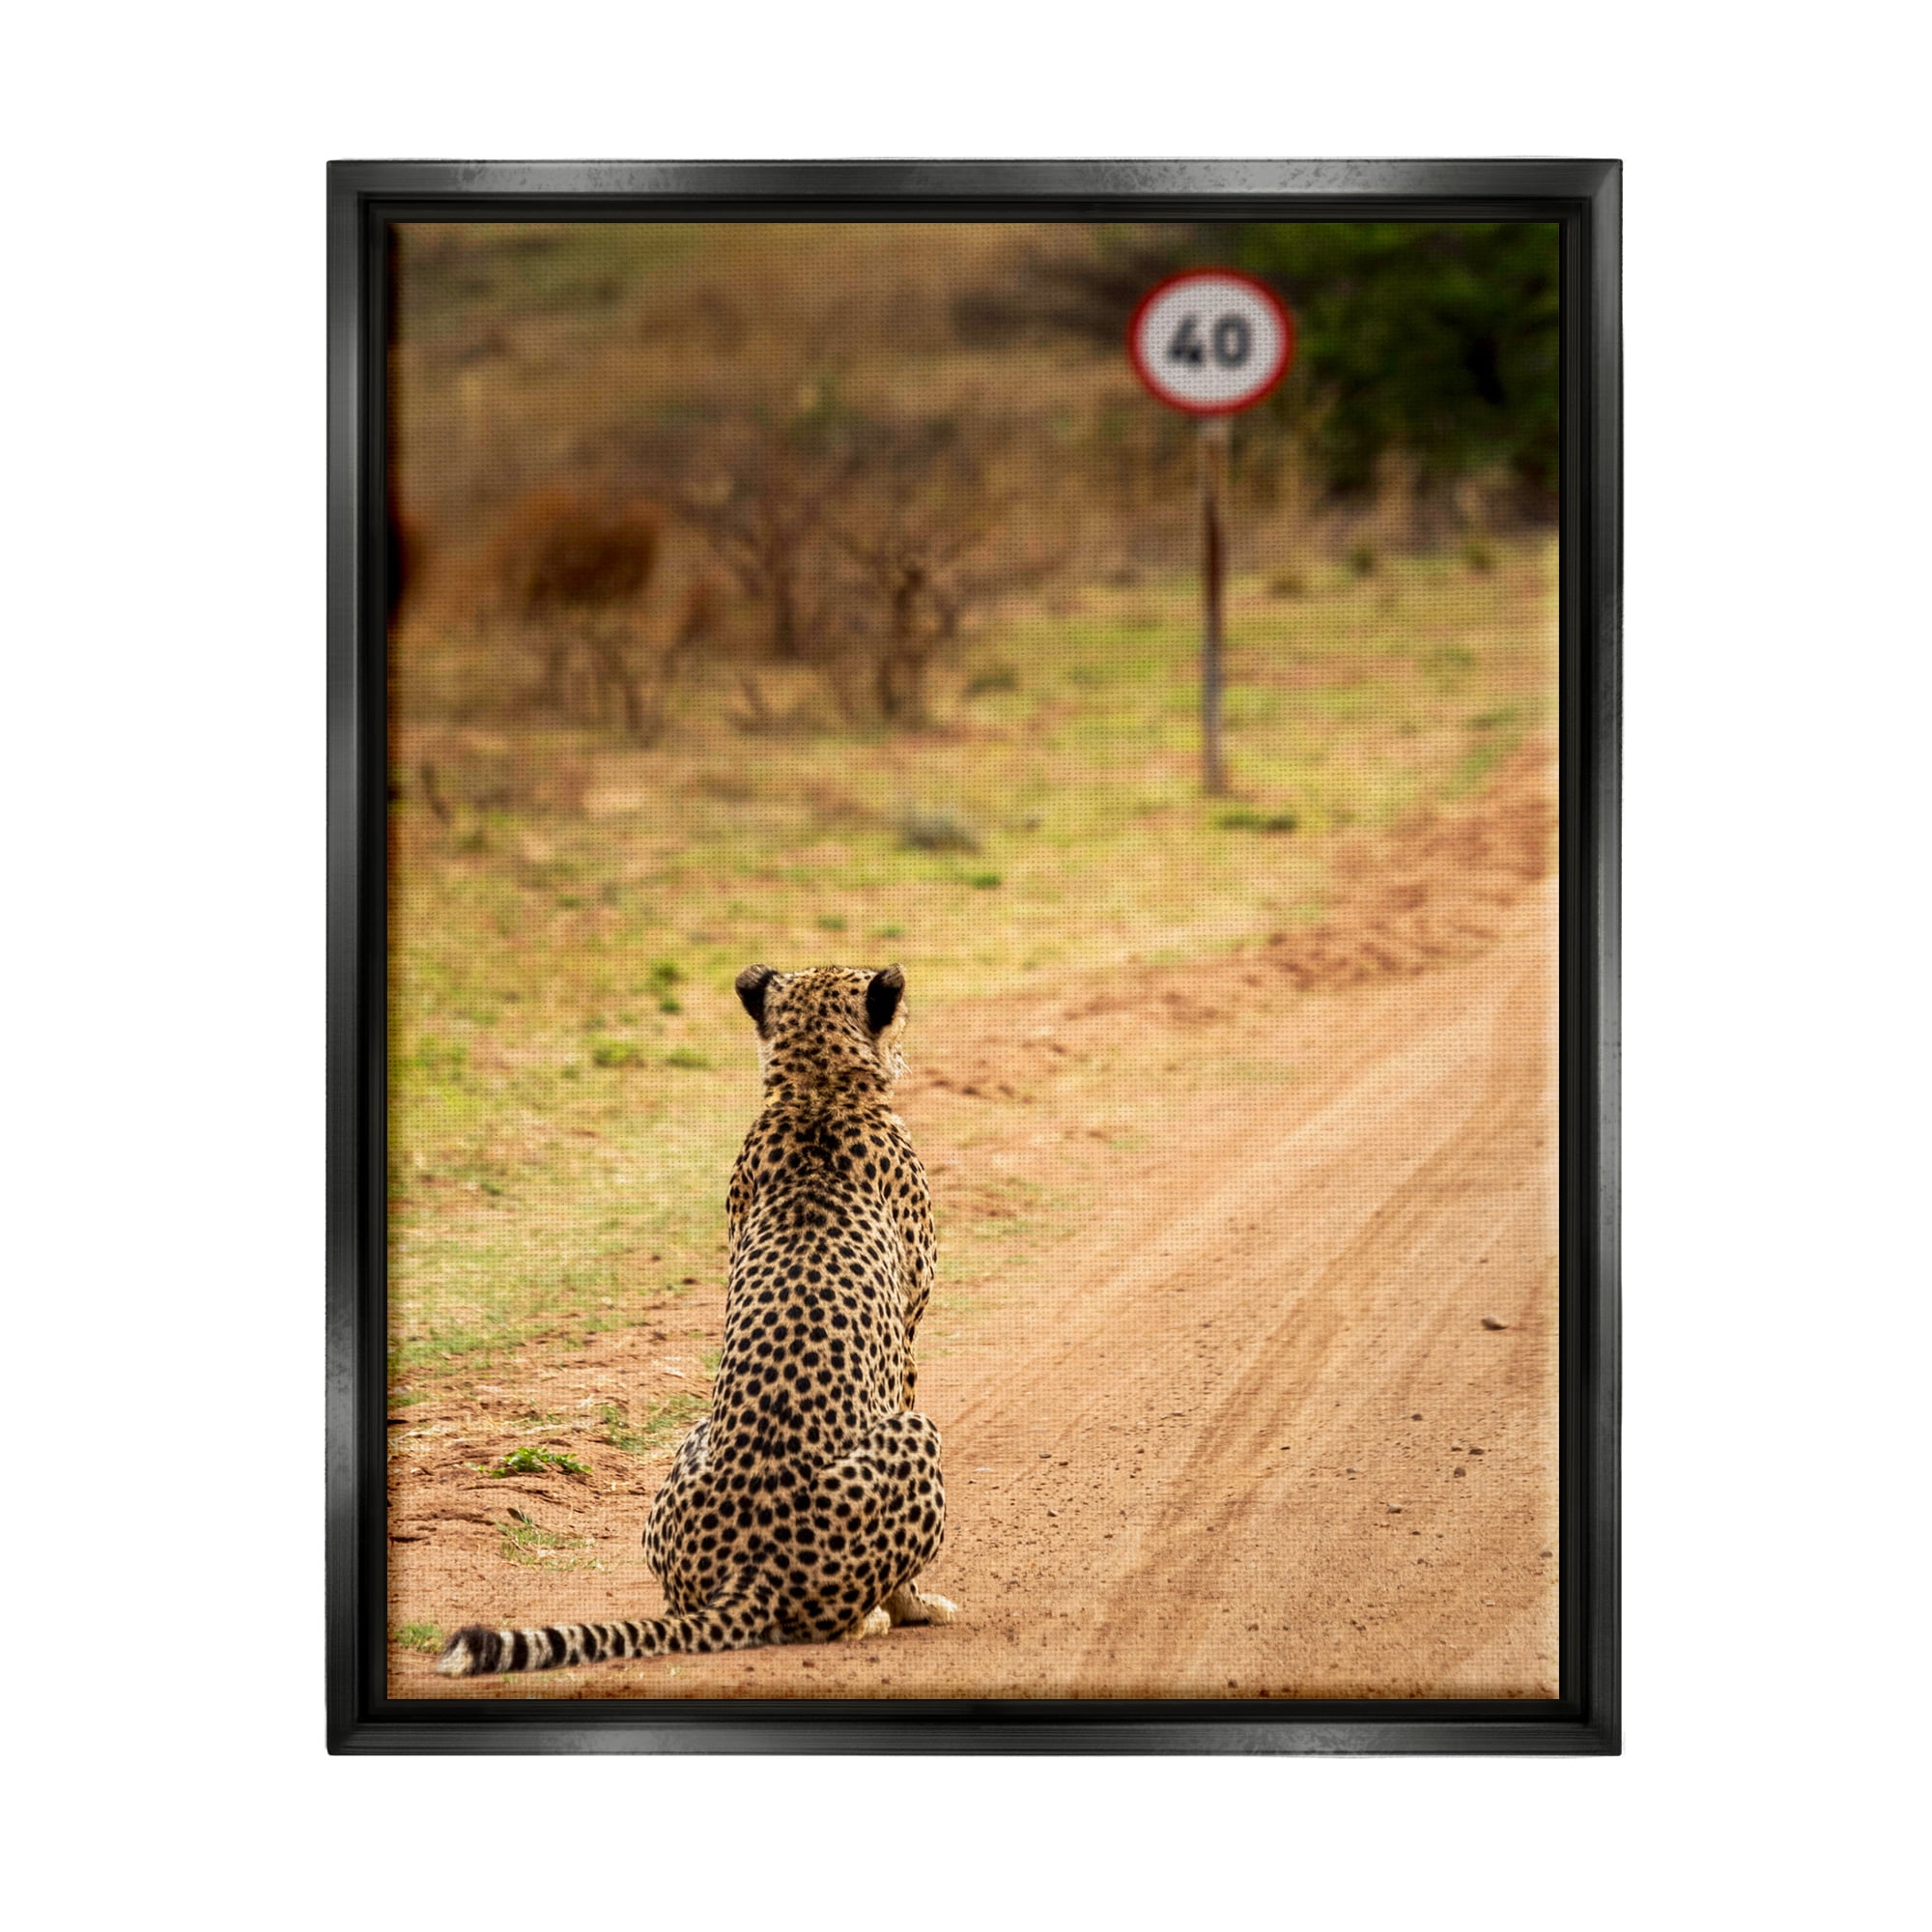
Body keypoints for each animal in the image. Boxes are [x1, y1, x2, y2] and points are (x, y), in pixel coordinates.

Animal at [438, 963, 959, 1676]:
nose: (906, 1050)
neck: (815, 1095)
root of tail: (749, 1572)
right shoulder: (907, 1337)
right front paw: (917, 1606)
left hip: (692, 1444)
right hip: (916, 1433)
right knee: (832, 1618)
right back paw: (875, 1618)